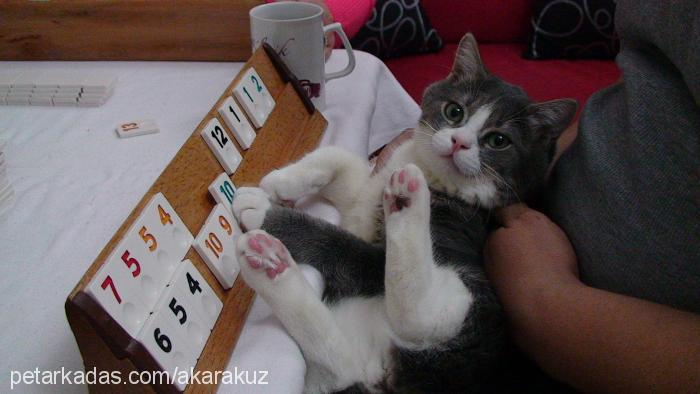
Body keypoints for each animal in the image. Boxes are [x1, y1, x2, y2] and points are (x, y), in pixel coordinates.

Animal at [232, 34, 576, 394]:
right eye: (455, 111)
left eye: (498, 140)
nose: (459, 142)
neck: (432, 173)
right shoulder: (365, 193)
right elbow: (341, 160)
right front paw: (280, 182)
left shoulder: (451, 232)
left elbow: (344, 246)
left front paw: (266, 212)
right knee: (340, 366)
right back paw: (269, 262)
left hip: (474, 315)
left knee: (418, 315)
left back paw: (407, 198)